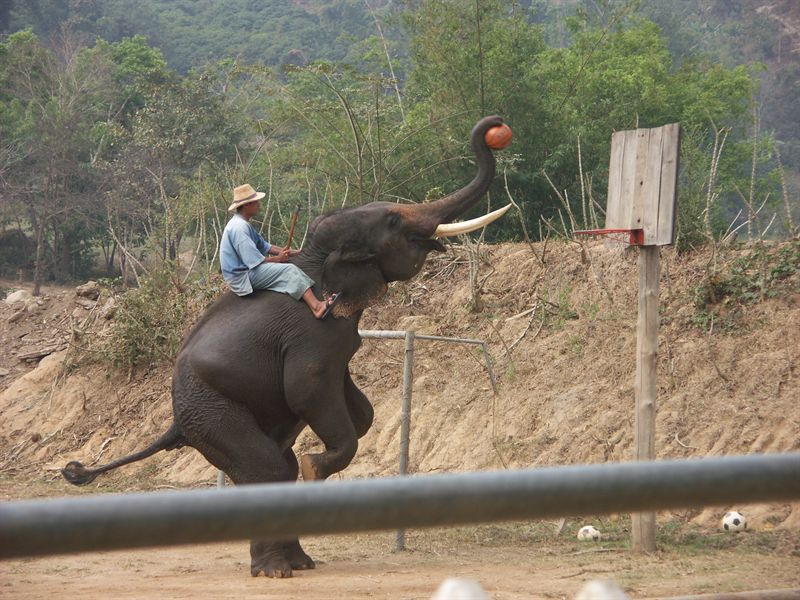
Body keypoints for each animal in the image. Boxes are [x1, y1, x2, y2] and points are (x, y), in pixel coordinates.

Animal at [61, 115, 511, 578]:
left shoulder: (338, 342)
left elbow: (356, 405)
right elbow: (307, 390)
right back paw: (276, 569)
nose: (495, 126)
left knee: (279, 466)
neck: (317, 258)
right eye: (392, 221)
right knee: (267, 466)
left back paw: (300, 562)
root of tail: (175, 423)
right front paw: (318, 466)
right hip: (210, 407)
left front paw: (340, 437)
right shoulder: (310, 334)